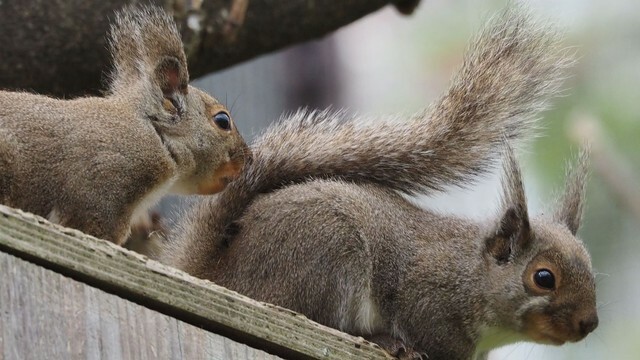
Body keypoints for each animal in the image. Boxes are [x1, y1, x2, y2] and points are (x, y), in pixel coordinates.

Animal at [161, 5, 596, 360]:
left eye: (590, 270)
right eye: (543, 278)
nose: (589, 323)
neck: (470, 275)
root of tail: (218, 274)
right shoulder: (427, 300)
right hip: (328, 255)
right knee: (321, 319)